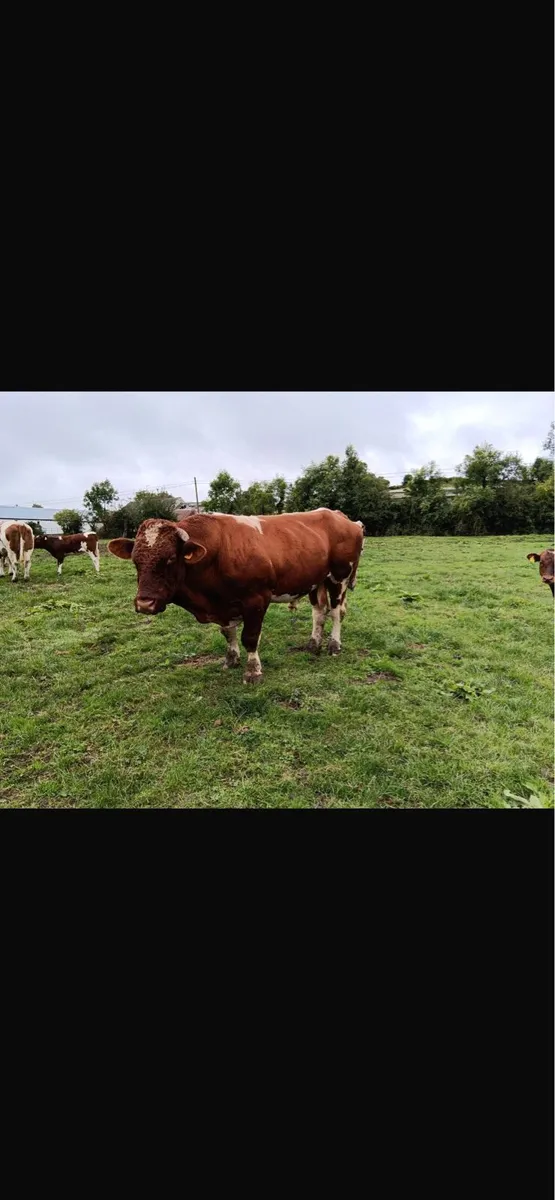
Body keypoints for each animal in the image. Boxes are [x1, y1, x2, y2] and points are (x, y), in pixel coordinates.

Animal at [108, 508, 365, 684]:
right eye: (135, 561)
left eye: (170, 559)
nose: (145, 603)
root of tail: (339, 516)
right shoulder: (223, 604)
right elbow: (227, 632)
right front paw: (231, 659)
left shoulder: (256, 600)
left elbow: (249, 637)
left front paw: (253, 672)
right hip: (315, 581)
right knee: (319, 612)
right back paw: (313, 644)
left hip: (339, 578)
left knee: (336, 613)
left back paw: (334, 645)